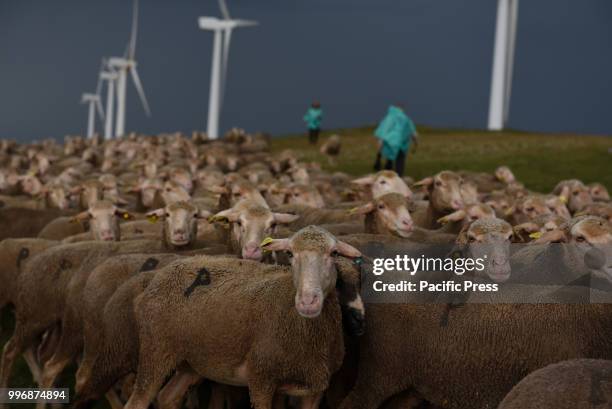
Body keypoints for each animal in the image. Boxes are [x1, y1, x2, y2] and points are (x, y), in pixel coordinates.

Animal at [123, 226, 360, 408]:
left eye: (334, 253)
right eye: (290, 254)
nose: (307, 301)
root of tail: (159, 276)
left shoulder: (314, 389)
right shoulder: (261, 378)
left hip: (193, 361)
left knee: (167, 397)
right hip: (155, 350)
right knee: (137, 402)